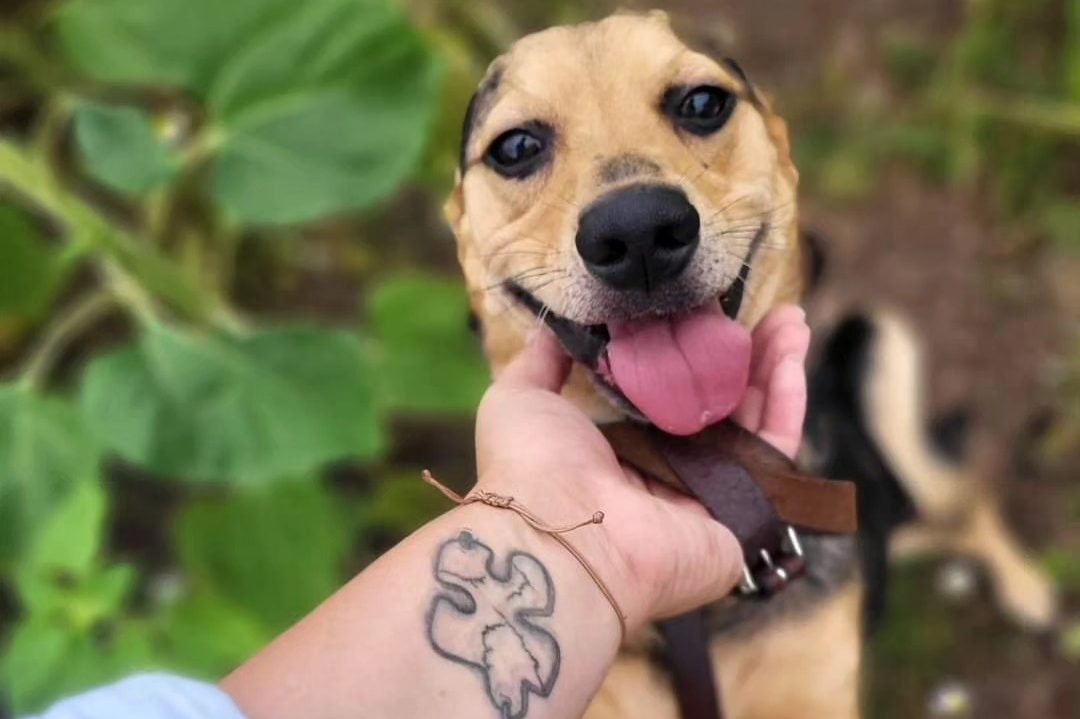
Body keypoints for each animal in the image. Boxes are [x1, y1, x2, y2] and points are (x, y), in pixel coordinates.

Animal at [442, 11, 1058, 716]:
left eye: (703, 103)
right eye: (515, 148)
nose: (639, 231)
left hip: (882, 357)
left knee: (967, 497)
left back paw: (1030, 589)